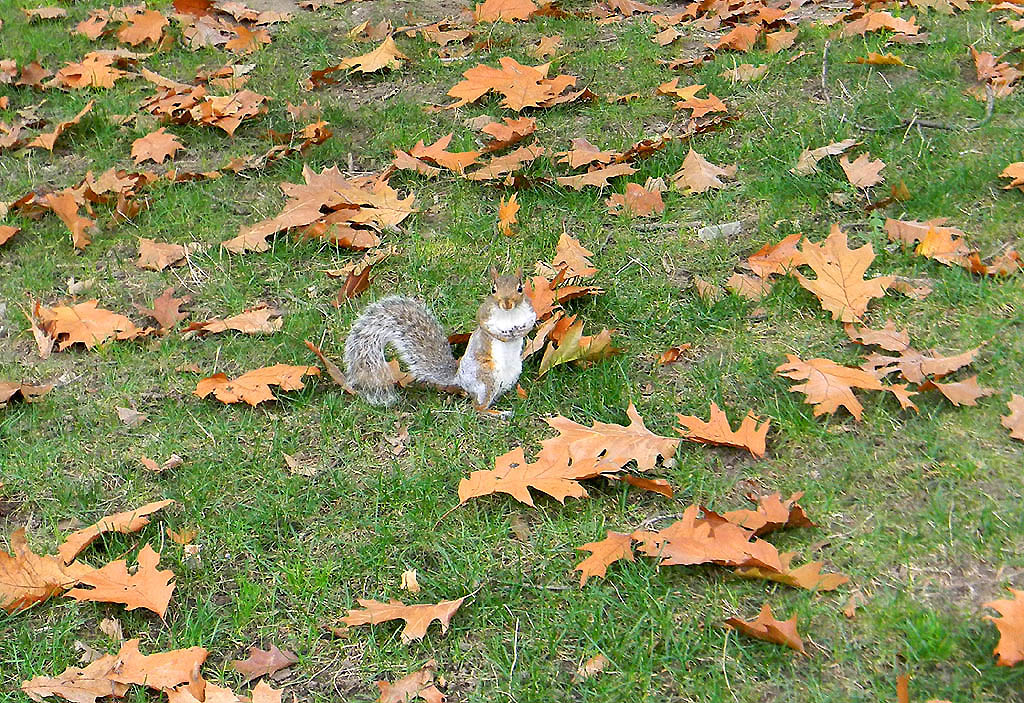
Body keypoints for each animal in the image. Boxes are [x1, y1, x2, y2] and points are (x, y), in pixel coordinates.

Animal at [342, 268, 540, 413]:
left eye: (520, 288)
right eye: (493, 289)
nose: (506, 303)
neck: (509, 315)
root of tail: (459, 377)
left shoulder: (530, 312)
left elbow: (530, 324)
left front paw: (519, 332)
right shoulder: (484, 315)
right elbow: (487, 328)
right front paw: (503, 336)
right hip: (486, 379)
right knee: (477, 407)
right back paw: (496, 413)